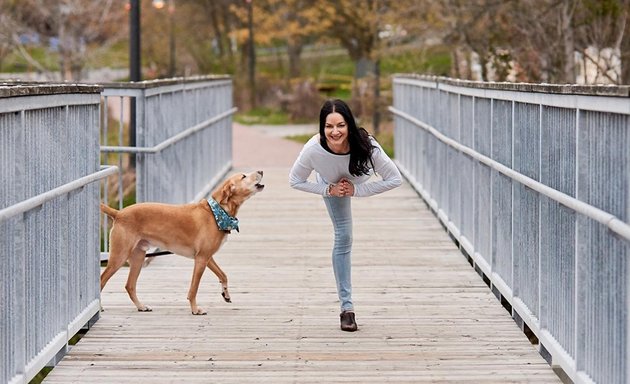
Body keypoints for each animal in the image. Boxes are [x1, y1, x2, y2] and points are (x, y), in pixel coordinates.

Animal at [99, 171, 266, 316]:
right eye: (244, 176)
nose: (260, 171)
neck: (217, 213)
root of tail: (118, 213)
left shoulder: (207, 257)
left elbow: (223, 275)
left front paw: (225, 294)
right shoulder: (201, 259)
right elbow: (193, 289)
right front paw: (195, 310)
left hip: (138, 257)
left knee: (130, 285)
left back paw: (141, 306)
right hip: (119, 256)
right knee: (101, 281)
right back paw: (100, 308)